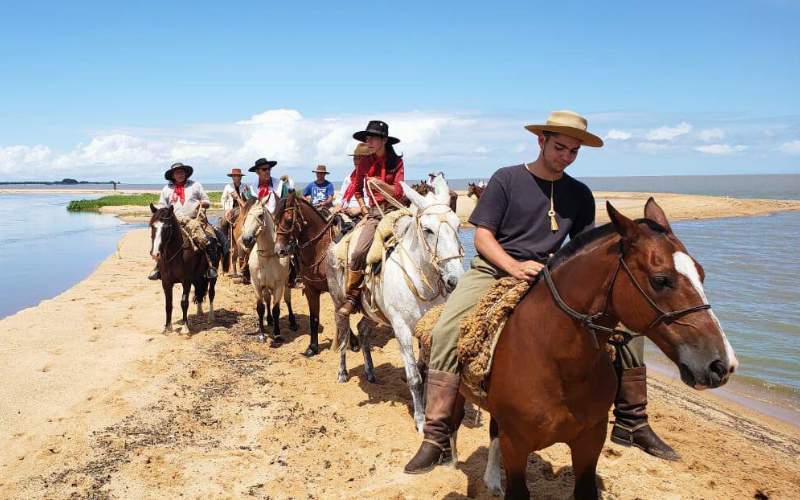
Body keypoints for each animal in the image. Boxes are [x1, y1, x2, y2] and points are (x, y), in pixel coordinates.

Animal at [149, 203, 219, 336]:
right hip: (196, 278)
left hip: (211, 277)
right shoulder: (166, 282)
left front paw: (185, 328)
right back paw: (199, 312)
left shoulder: (186, 281)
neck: (174, 255)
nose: (155, 254)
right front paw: (167, 327)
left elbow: (184, 302)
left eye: (167, 227)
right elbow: (168, 304)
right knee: (199, 292)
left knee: (211, 293)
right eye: (152, 226)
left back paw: (211, 317)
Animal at [241, 195, 300, 344]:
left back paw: (292, 322)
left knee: (287, 299)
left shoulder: (279, 284)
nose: (246, 239)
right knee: (267, 300)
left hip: (287, 283)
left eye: (260, 215)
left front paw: (277, 335)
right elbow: (261, 307)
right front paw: (261, 334)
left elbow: (276, 309)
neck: (267, 257)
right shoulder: (256, 283)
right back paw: (270, 320)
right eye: (245, 217)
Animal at [276, 193, 362, 358]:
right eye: (274, 219)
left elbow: (341, 313)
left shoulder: (335, 290)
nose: (280, 251)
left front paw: (353, 343)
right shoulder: (311, 289)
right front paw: (312, 347)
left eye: (289, 220)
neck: (320, 249)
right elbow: (314, 319)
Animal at [324, 175, 462, 430]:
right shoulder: (402, 329)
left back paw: (370, 372)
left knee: (363, 330)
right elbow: (415, 377)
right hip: (339, 305)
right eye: (427, 229)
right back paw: (342, 373)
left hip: (373, 312)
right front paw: (420, 420)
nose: (454, 280)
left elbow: (425, 371)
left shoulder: (427, 330)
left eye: (458, 226)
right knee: (344, 336)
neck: (422, 279)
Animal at [456, 198, 736, 496]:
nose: (722, 364)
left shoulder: (590, 443)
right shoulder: (516, 446)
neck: (557, 364)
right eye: (660, 279)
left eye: (701, 274)